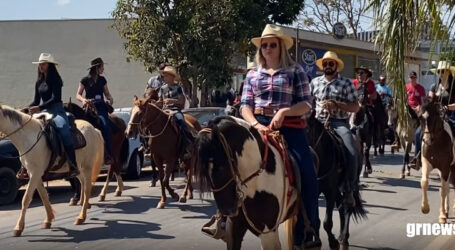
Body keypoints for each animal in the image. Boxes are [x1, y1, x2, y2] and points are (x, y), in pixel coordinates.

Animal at [0, 104, 104, 236]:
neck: (28, 137)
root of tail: (94, 129)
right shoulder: (34, 173)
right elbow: (44, 195)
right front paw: (48, 220)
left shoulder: (35, 173)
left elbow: (26, 199)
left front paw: (18, 227)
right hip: (78, 168)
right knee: (83, 183)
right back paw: (83, 204)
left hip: (87, 167)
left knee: (87, 189)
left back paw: (81, 217)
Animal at [306, 114, 366, 250]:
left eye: (306, 130)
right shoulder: (315, 192)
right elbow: (316, 221)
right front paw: (317, 243)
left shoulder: (330, 191)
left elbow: (327, 222)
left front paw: (333, 242)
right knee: (341, 206)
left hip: (349, 184)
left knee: (348, 206)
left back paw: (343, 239)